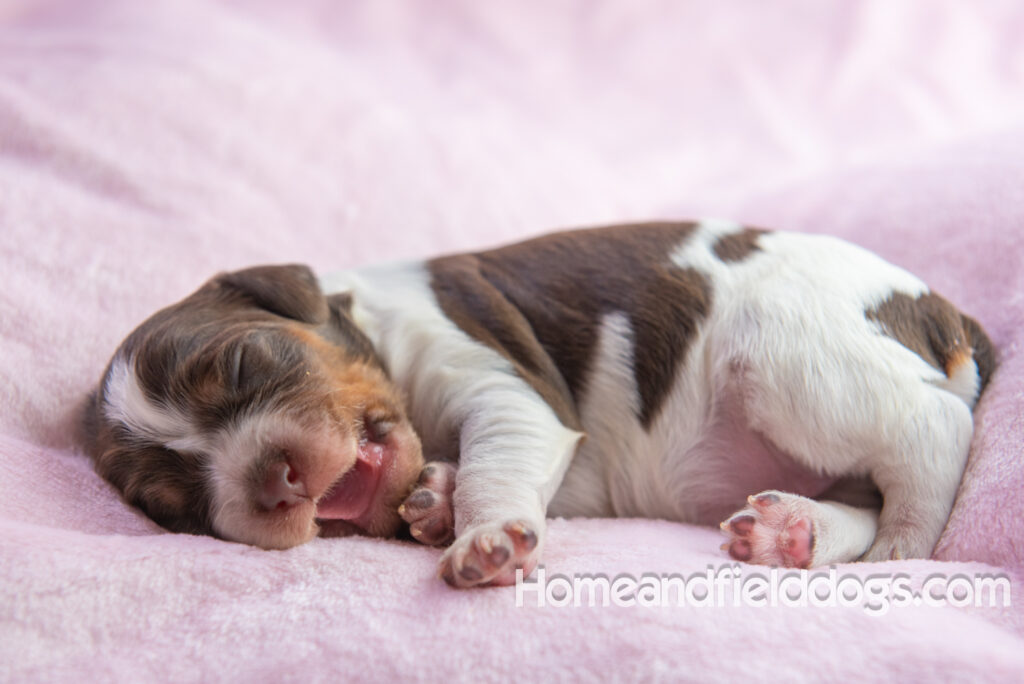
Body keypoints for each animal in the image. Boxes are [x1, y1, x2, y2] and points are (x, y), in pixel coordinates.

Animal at [79, 222, 991, 585]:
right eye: (172, 505)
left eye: (242, 362)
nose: (273, 482)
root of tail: (940, 310)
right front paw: (435, 500)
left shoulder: (503, 387)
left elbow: (500, 461)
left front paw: (479, 536)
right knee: (858, 490)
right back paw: (792, 529)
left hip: (787, 356)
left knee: (932, 428)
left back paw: (904, 544)